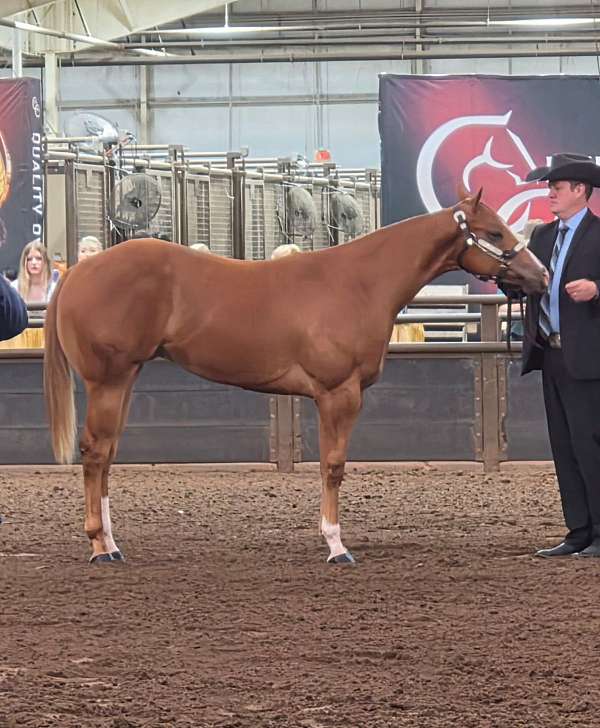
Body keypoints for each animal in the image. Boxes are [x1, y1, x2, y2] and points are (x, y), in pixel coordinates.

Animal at [44, 185, 548, 565]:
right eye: (494, 231)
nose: (540, 275)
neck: (358, 283)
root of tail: (79, 271)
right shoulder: (338, 394)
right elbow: (333, 466)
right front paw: (336, 545)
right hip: (108, 381)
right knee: (94, 453)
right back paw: (100, 546)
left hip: (126, 379)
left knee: (107, 454)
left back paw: (111, 542)